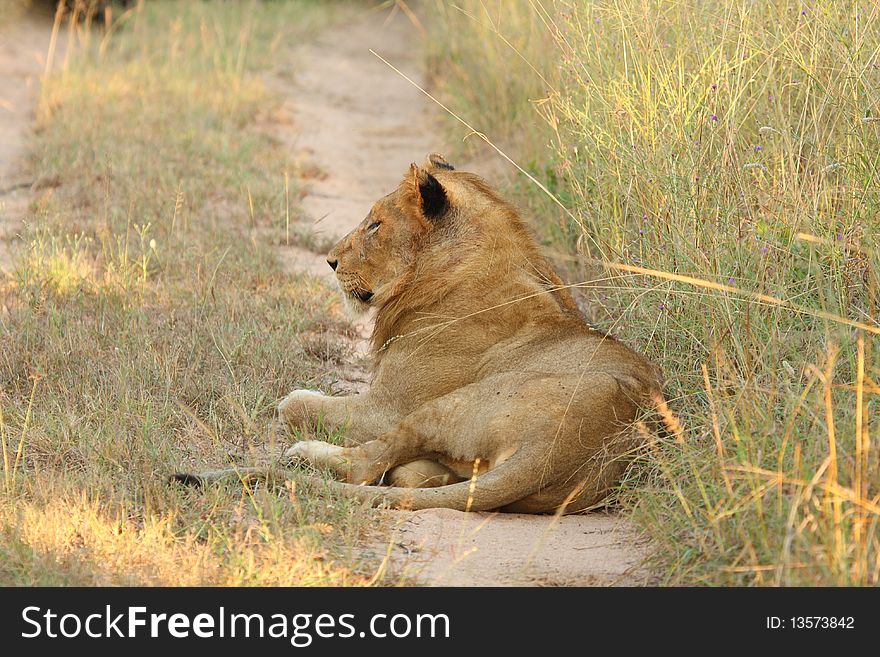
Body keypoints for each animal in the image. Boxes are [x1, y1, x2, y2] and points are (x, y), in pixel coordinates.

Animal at [175, 154, 672, 512]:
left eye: (375, 224)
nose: (331, 260)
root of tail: (563, 447)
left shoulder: (384, 407)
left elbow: (293, 401)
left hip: (447, 406)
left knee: (363, 466)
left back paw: (304, 452)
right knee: (405, 476)